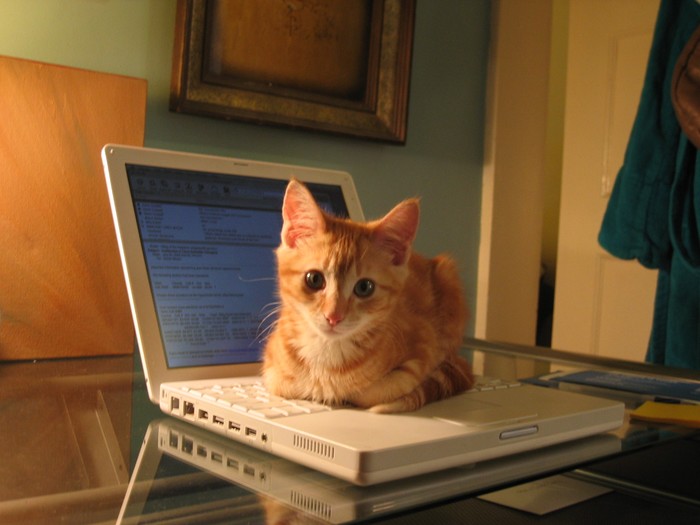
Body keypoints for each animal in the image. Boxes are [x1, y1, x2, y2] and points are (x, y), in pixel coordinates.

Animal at [262, 179, 474, 413]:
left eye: (364, 287)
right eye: (314, 279)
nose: (333, 316)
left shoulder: (424, 347)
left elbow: (374, 391)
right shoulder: (272, 371)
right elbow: (285, 383)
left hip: (448, 278)